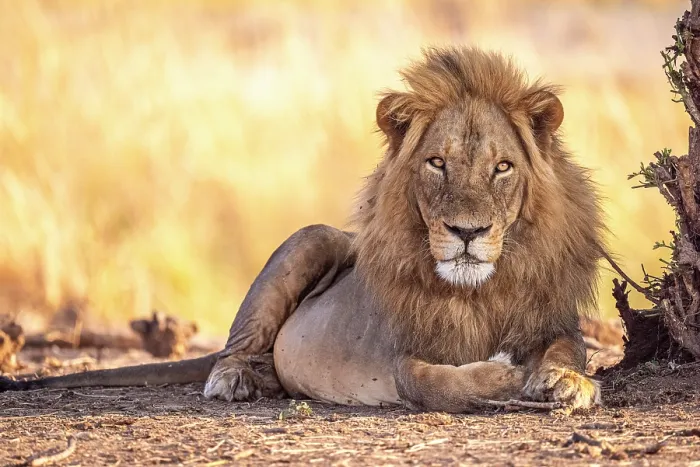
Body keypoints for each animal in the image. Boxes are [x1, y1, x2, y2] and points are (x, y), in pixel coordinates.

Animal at [0, 46, 605, 412]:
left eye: (502, 167)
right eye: (437, 163)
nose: (466, 232)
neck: (479, 290)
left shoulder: (553, 319)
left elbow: (568, 351)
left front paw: (564, 382)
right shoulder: (403, 355)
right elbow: (441, 383)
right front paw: (509, 376)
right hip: (309, 240)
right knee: (233, 348)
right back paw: (236, 380)